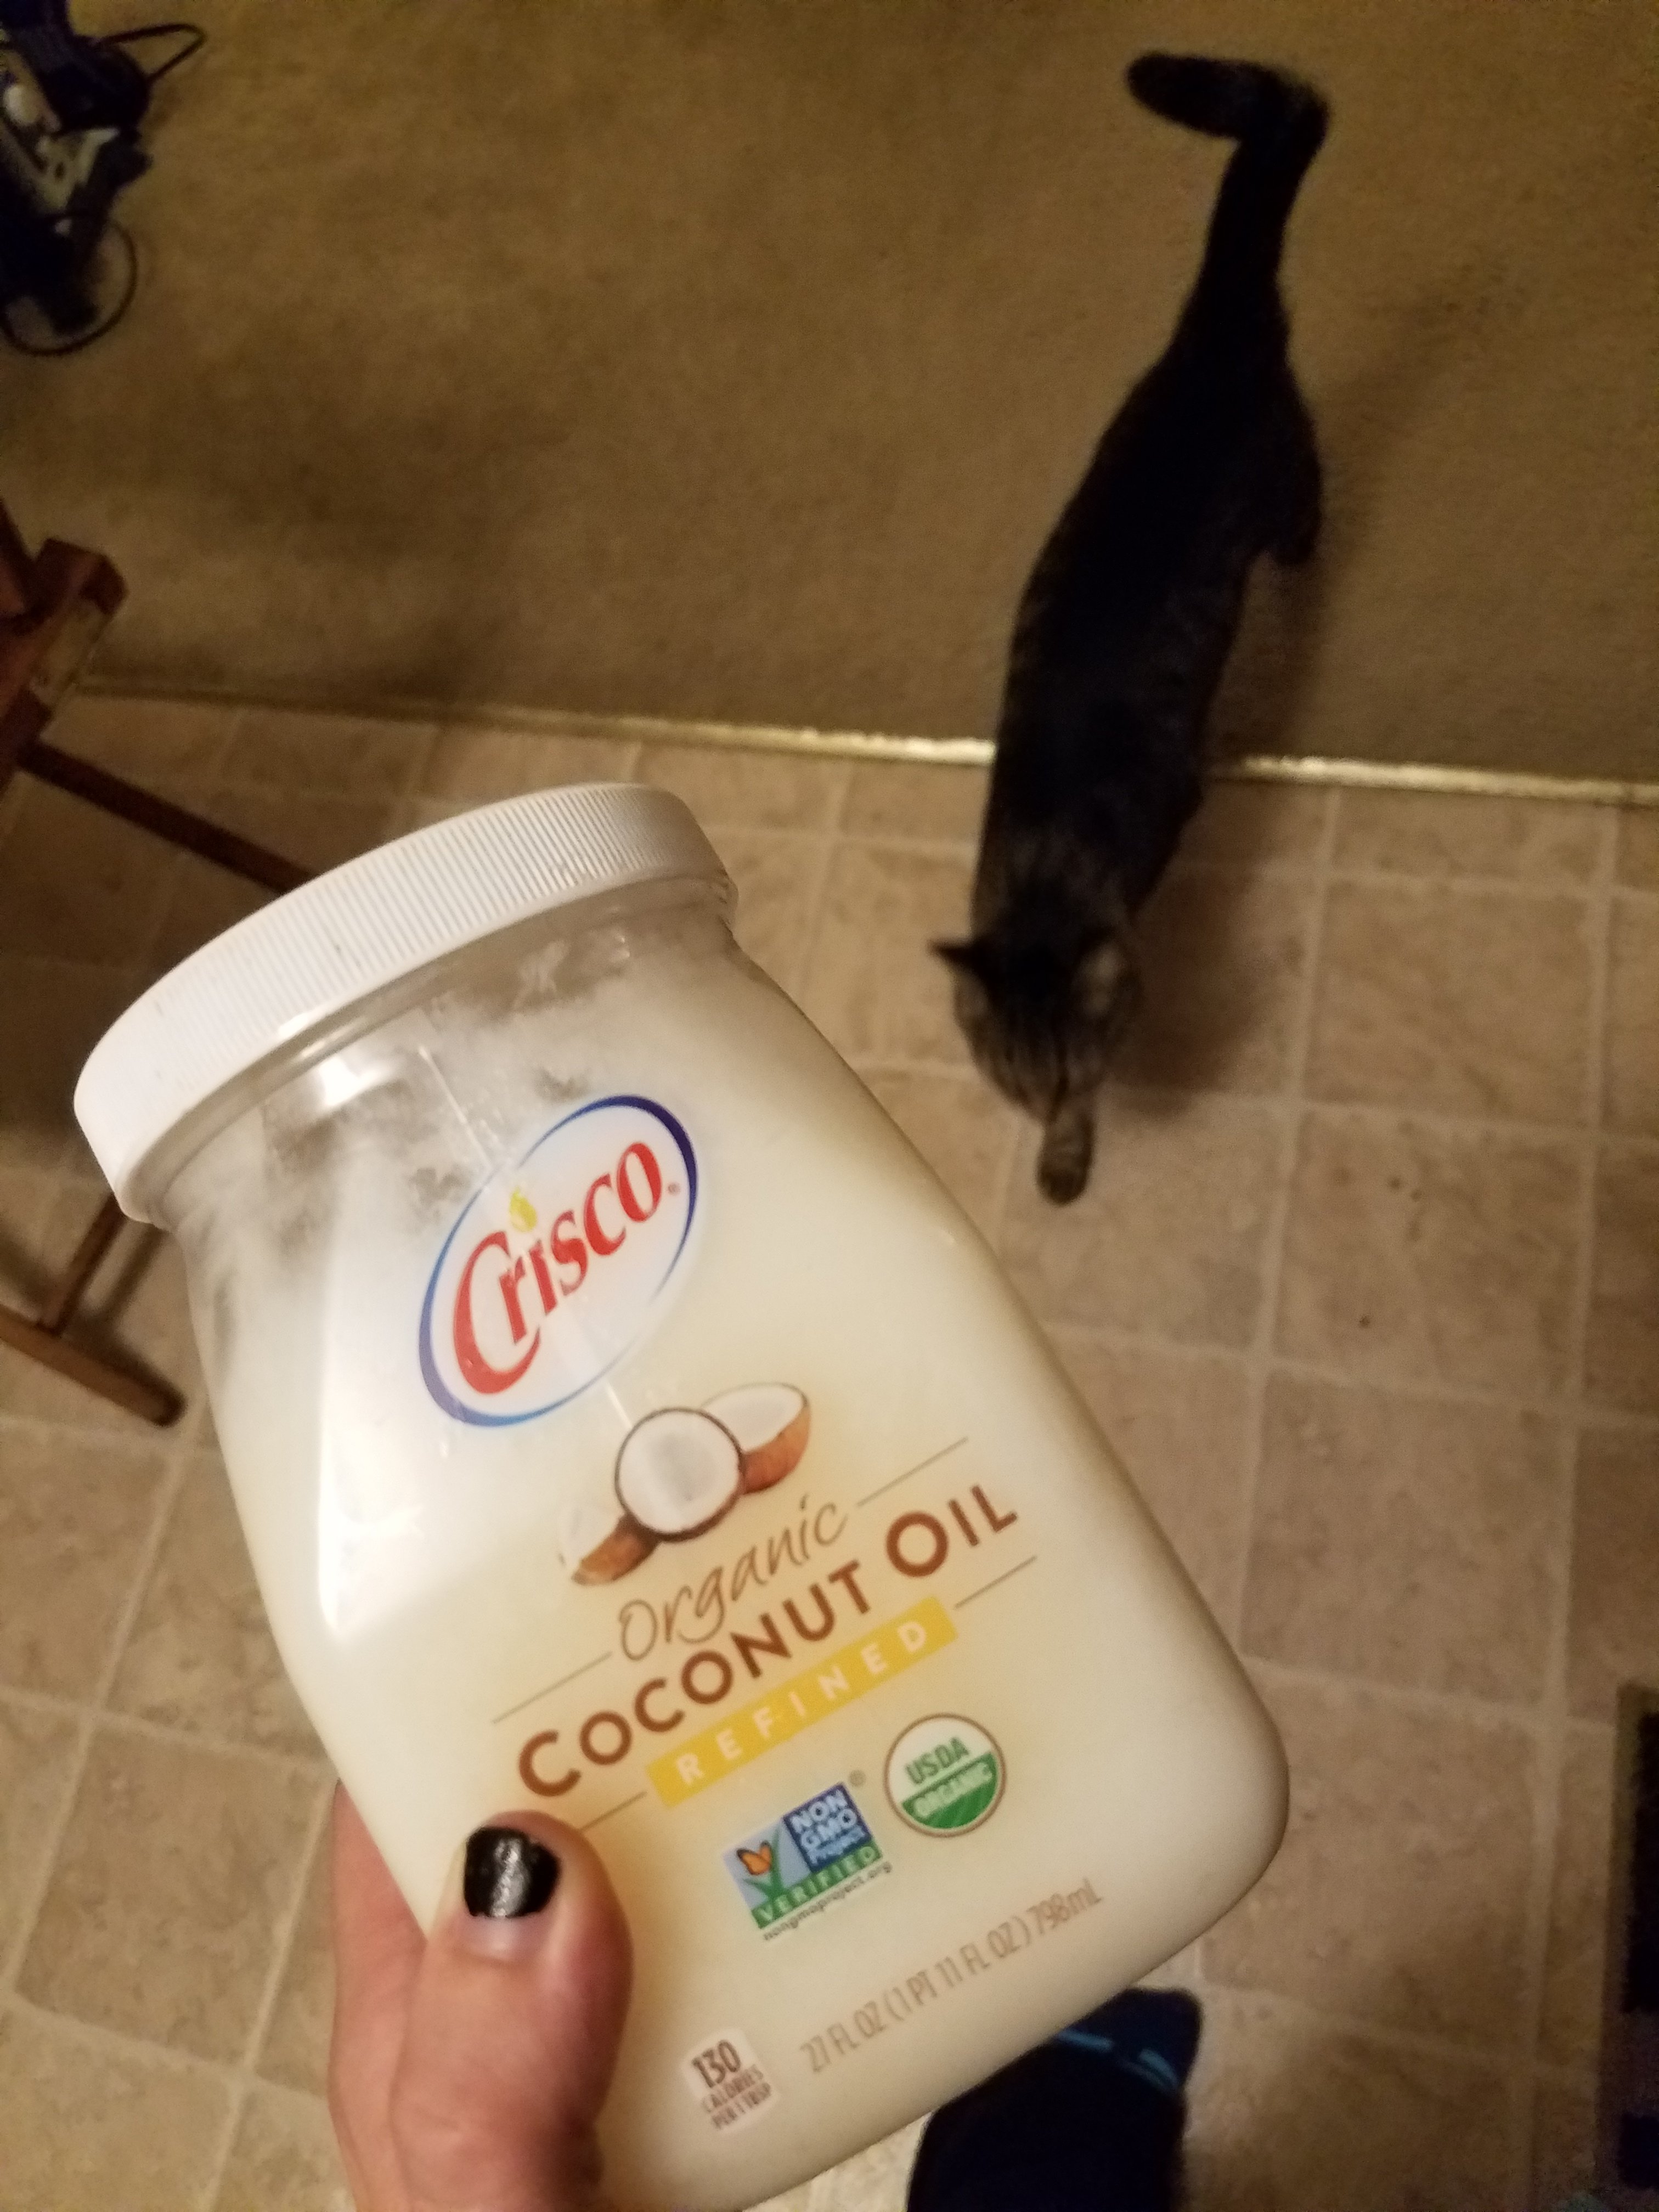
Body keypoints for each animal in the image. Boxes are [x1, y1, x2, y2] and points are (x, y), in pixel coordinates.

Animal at [937, 53, 1328, 1204]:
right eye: (1008, 1080)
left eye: (1066, 1073)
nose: (1042, 1107)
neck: (1036, 875)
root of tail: (1207, 330)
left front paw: (1068, 1158)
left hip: (1280, 470)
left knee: (1308, 493)